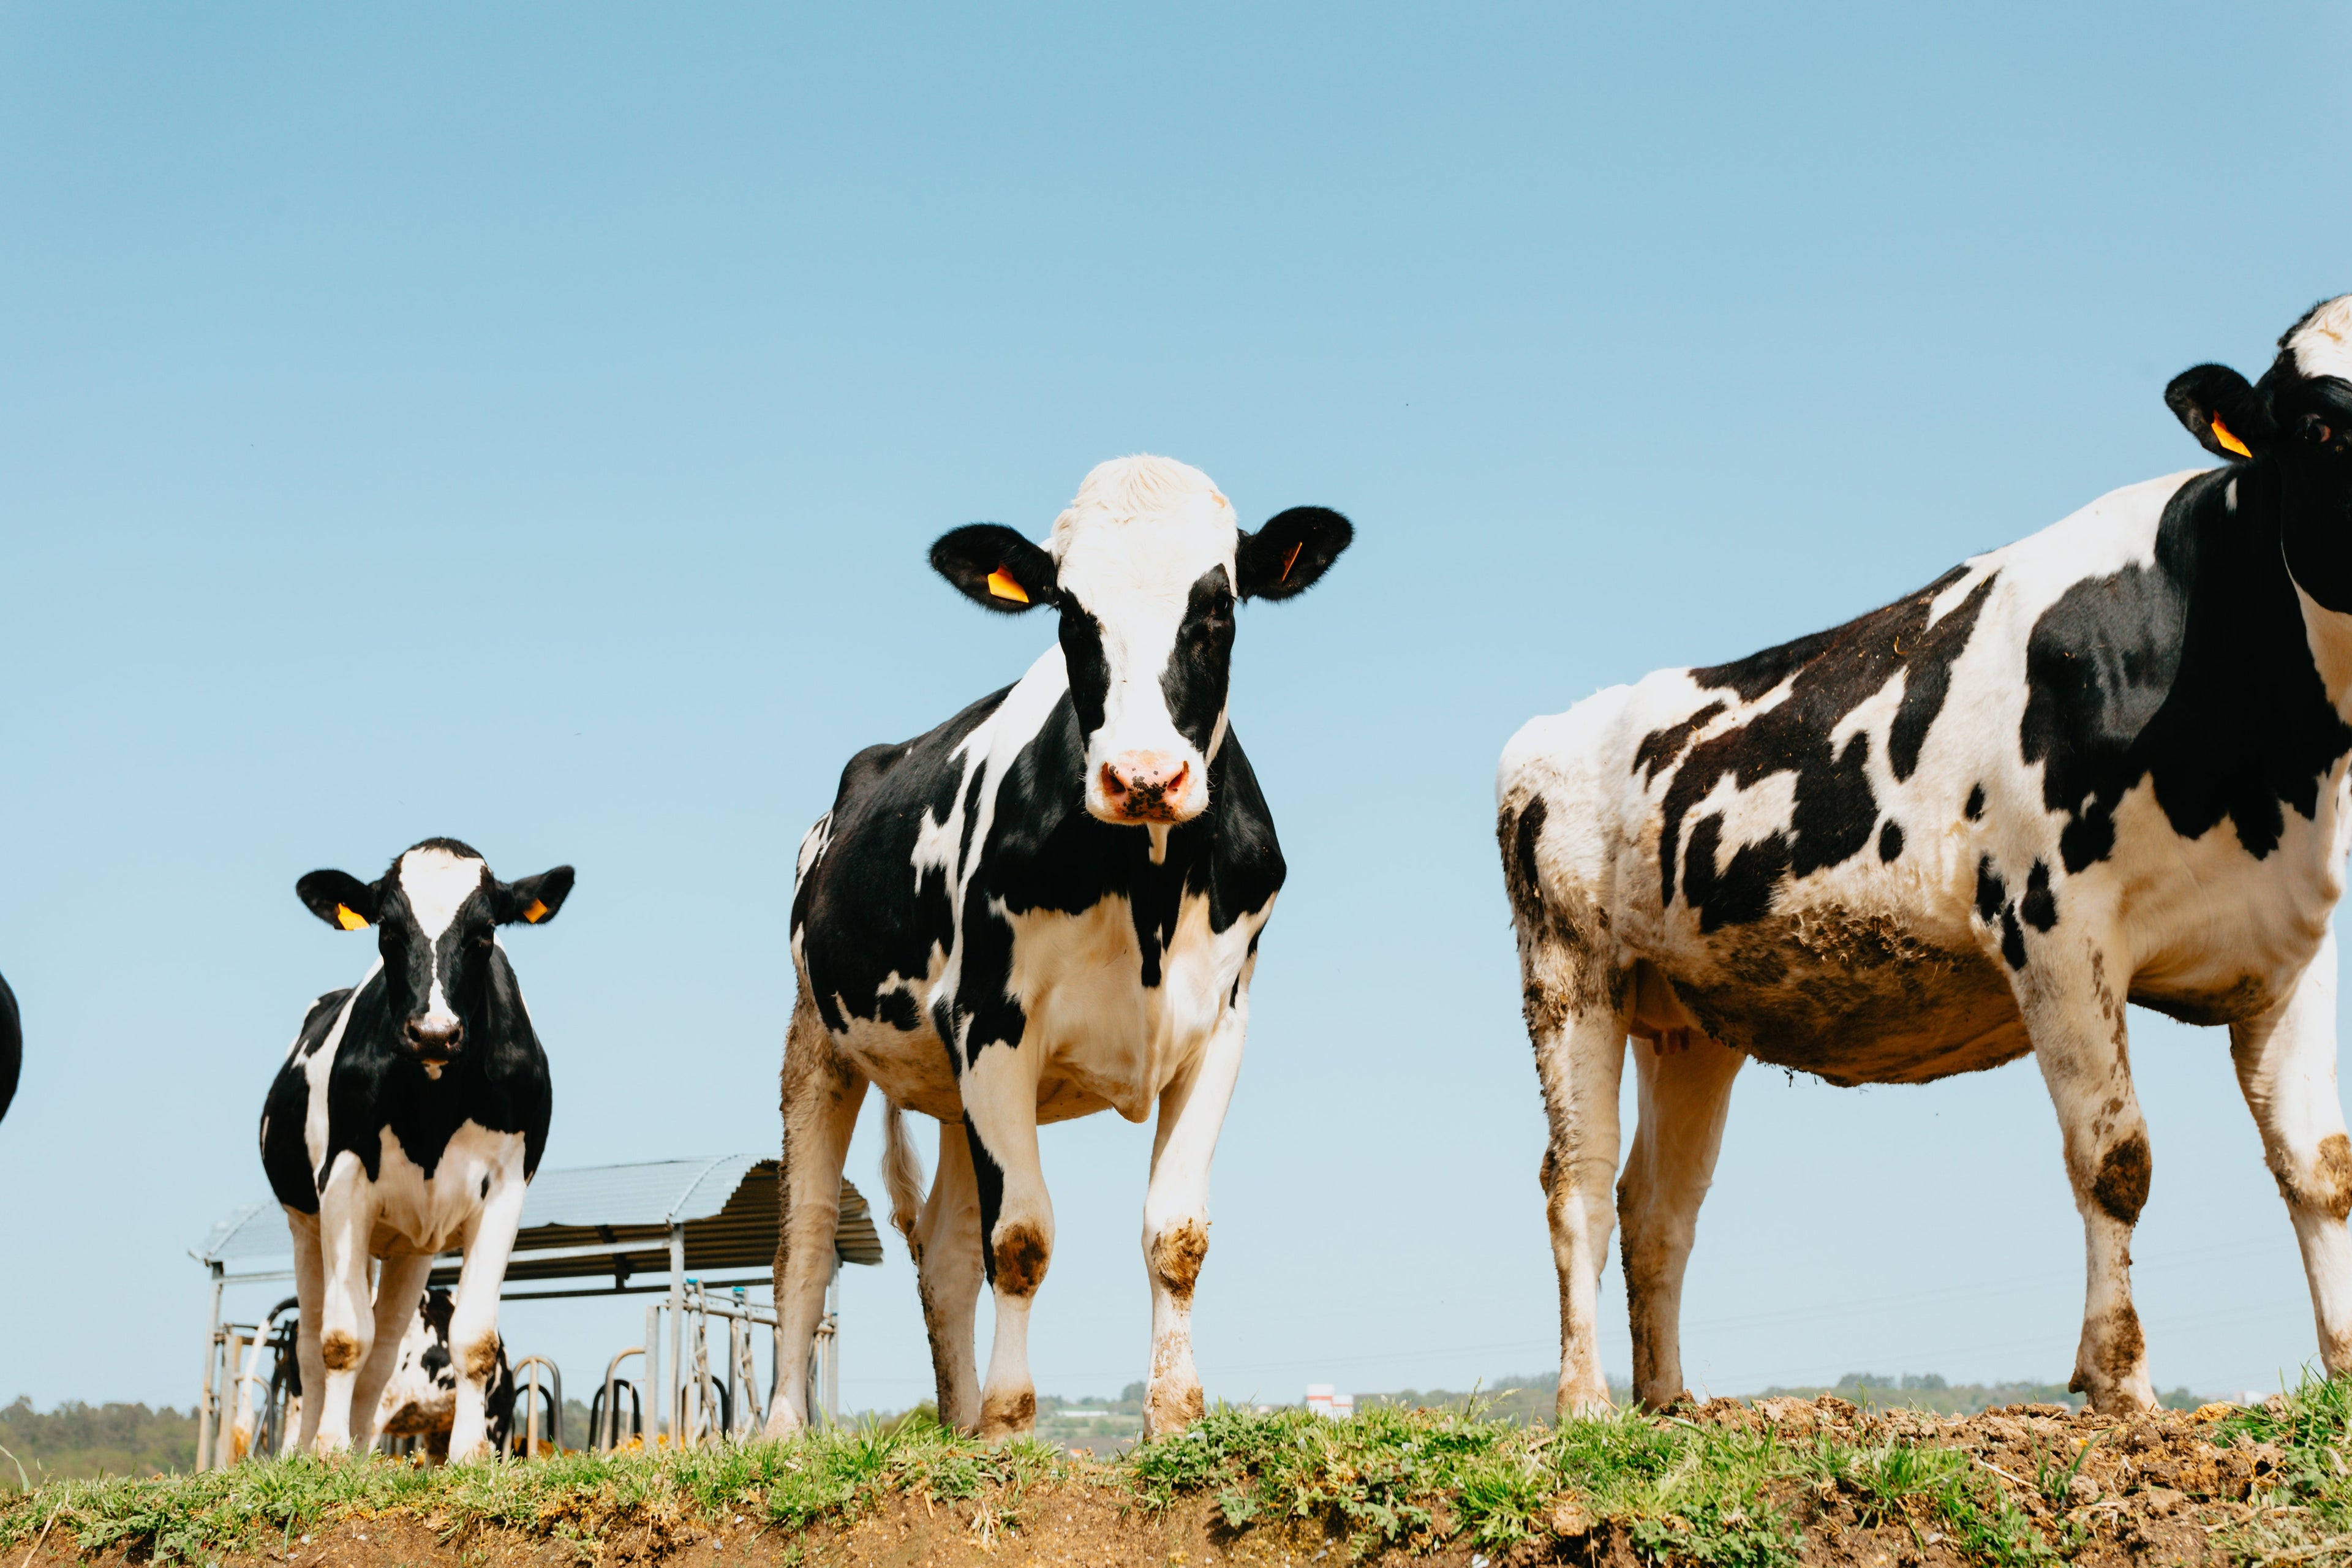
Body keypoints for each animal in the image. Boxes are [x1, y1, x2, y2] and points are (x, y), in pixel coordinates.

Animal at [259, 838, 572, 1459]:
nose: (433, 1032)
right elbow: (340, 1339)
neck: (434, 1106)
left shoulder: (506, 1190)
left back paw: (360, 1447)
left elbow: (473, 1338)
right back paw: (311, 1449)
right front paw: (327, 1451)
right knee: (311, 1346)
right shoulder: (343, 1185)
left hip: (410, 1248)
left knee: (383, 1351)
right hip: (306, 1223)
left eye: (484, 931)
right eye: (387, 928)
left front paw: (471, 1454)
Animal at [764, 455, 1351, 1442]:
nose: (1145, 777)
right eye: (1071, 614)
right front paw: (1010, 1421)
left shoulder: (1219, 1027)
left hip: (952, 1088)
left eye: (1219, 608)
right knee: (804, 1240)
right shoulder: (992, 1021)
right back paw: (785, 1433)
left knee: (944, 1250)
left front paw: (1173, 1417)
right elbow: (1022, 1240)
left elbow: (1175, 1235)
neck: (1149, 885)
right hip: (819, 1040)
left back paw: (958, 1425)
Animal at [1496, 295, 2352, 1417]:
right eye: (2321, 426)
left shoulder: (2292, 943)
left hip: (1689, 1021)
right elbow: (2115, 1158)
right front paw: (2122, 1387)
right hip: (1570, 972)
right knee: (1580, 1187)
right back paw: (1586, 1406)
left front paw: (2345, 1370)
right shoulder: (2051, 924)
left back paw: (1671, 1407)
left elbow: (2320, 1167)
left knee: (1659, 1206)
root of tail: (1554, 727)